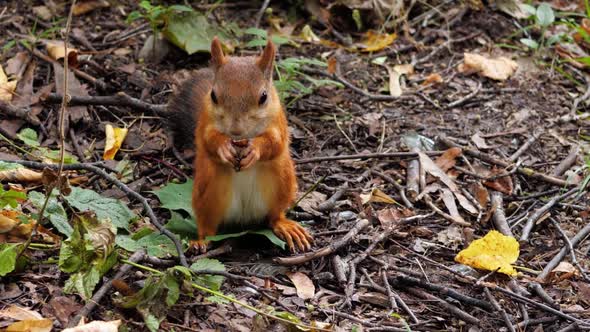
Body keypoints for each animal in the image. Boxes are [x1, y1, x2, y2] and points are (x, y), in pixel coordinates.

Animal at [166, 37, 314, 253]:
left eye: (263, 97)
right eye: (213, 95)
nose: (235, 130)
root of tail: (244, 220)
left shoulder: (278, 122)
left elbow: (276, 143)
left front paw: (255, 149)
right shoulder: (205, 121)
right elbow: (207, 141)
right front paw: (223, 147)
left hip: (283, 181)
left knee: (274, 216)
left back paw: (285, 226)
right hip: (208, 191)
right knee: (208, 226)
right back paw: (201, 241)